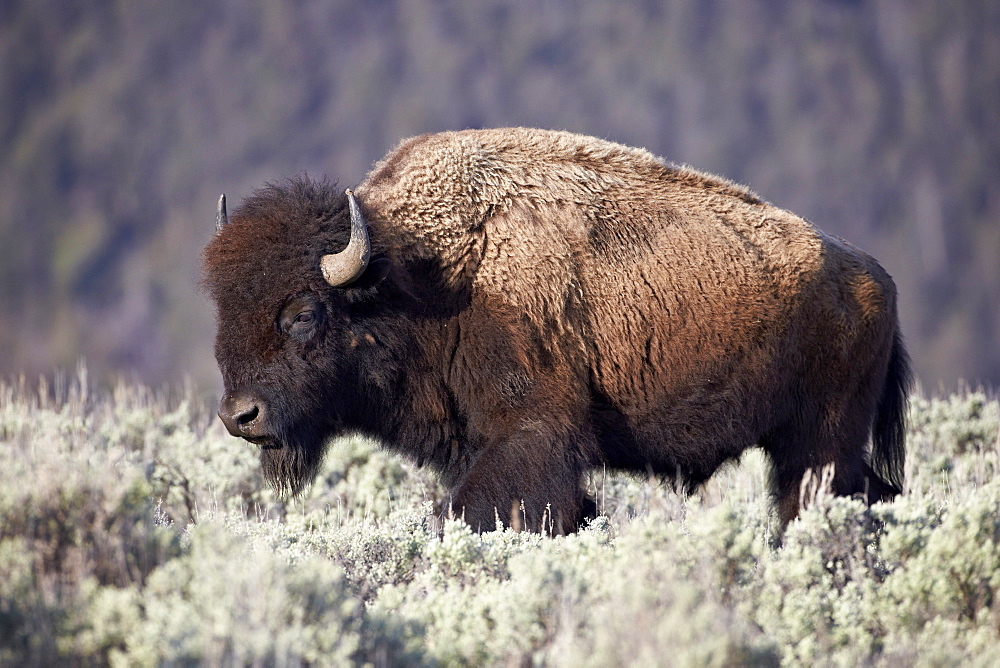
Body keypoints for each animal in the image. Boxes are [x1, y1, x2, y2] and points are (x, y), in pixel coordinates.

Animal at [201, 126, 908, 532]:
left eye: (303, 312)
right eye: (222, 307)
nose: (242, 415)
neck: (418, 274)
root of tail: (876, 279)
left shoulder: (530, 435)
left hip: (817, 444)